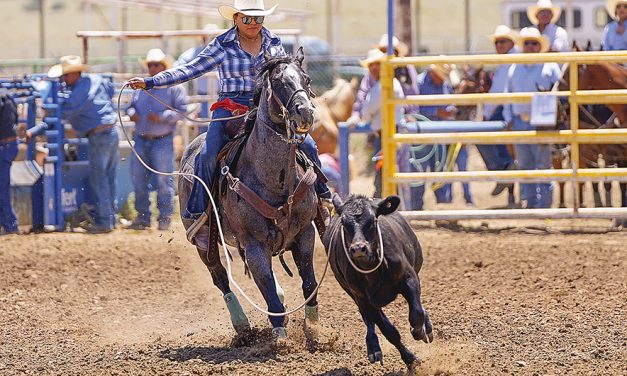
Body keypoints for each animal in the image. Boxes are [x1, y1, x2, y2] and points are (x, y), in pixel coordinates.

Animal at [179, 49, 322, 338]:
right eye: (278, 81)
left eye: (306, 79)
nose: (305, 113)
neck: (276, 182)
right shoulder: (254, 244)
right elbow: (268, 294)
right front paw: (280, 337)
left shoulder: (305, 233)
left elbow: (309, 283)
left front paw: (312, 329)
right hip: (203, 242)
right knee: (220, 277)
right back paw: (241, 325)